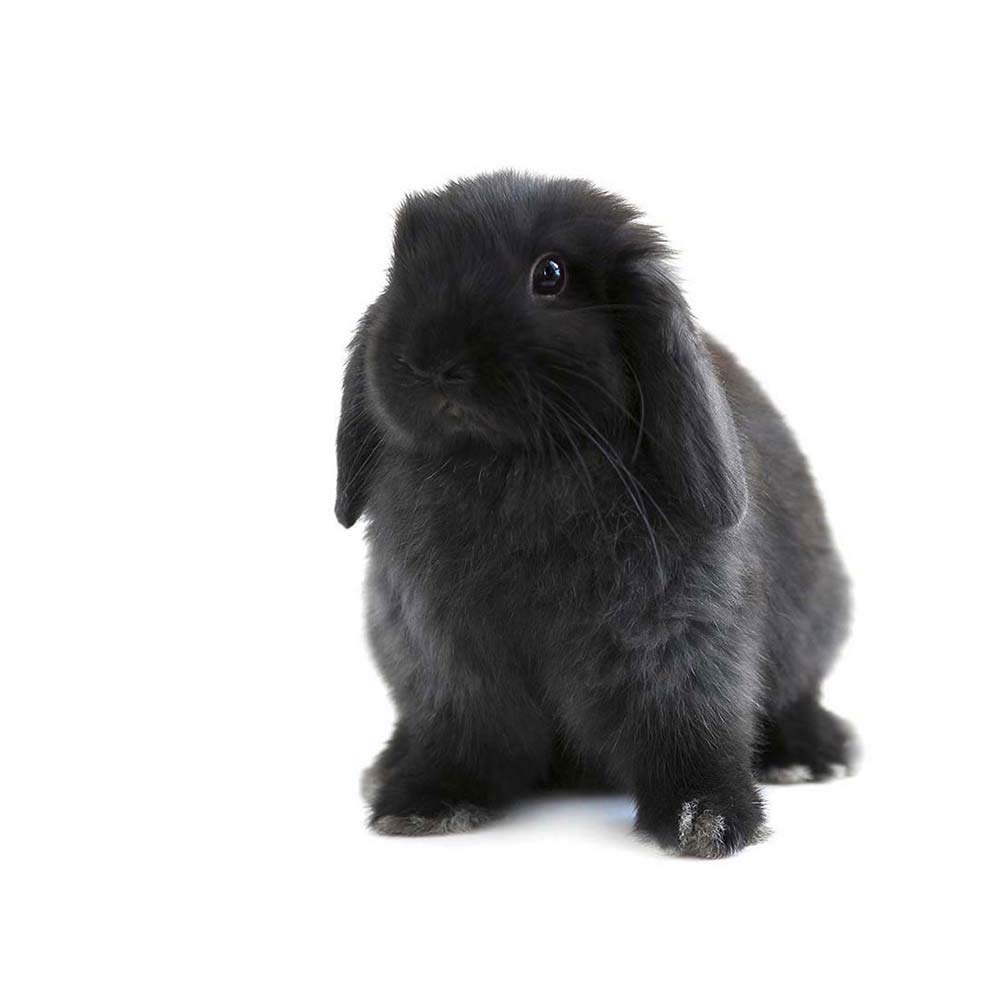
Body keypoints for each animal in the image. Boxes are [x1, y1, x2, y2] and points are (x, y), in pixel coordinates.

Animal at [336, 171, 855, 857]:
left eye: (550, 275)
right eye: (400, 269)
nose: (431, 362)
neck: (509, 464)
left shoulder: (672, 631)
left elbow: (687, 720)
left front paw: (709, 819)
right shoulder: (440, 646)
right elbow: (463, 728)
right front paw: (425, 801)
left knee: (796, 694)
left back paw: (809, 755)